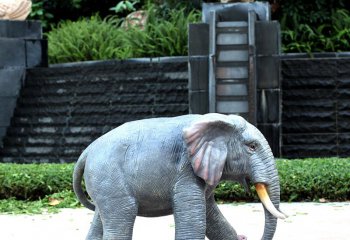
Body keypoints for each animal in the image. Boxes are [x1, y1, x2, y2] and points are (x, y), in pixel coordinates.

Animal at [72, 113, 286, 240]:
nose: (247, 236)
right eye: (252, 146)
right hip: (109, 177)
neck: (220, 122)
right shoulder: (185, 169)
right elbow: (195, 221)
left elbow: (212, 217)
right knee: (123, 215)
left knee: (100, 219)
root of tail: (87, 151)